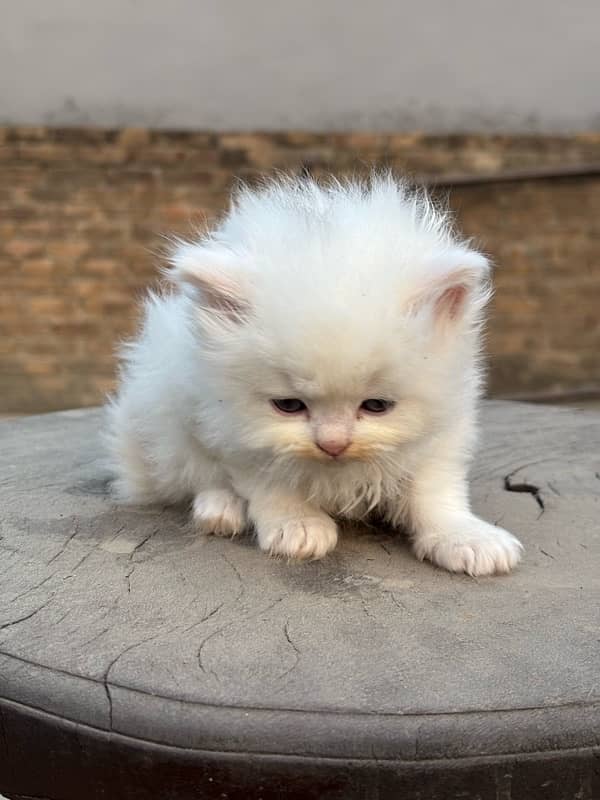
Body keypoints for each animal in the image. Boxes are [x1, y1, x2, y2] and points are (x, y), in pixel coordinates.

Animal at [106, 173, 520, 576]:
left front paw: (465, 538)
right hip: (163, 416)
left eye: (376, 406)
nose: (333, 445)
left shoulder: (441, 433)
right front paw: (298, 526)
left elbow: (432, 493)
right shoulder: (238, 432)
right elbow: (270, 482)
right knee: (195, 476)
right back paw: (220, 510)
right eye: (289, 405)